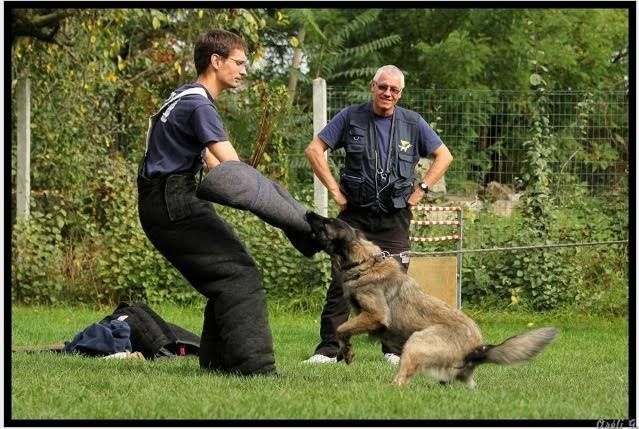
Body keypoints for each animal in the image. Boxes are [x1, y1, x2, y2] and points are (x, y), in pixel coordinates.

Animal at [308, 212, 556, 386]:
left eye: (326, 222)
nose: (309, 213)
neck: (365, 262)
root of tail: (477, 349)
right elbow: (344, 330)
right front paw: (346, 351)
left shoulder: (375, 315)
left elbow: (340, 328)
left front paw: (347, 352)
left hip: (416, 341)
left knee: (401, 381)